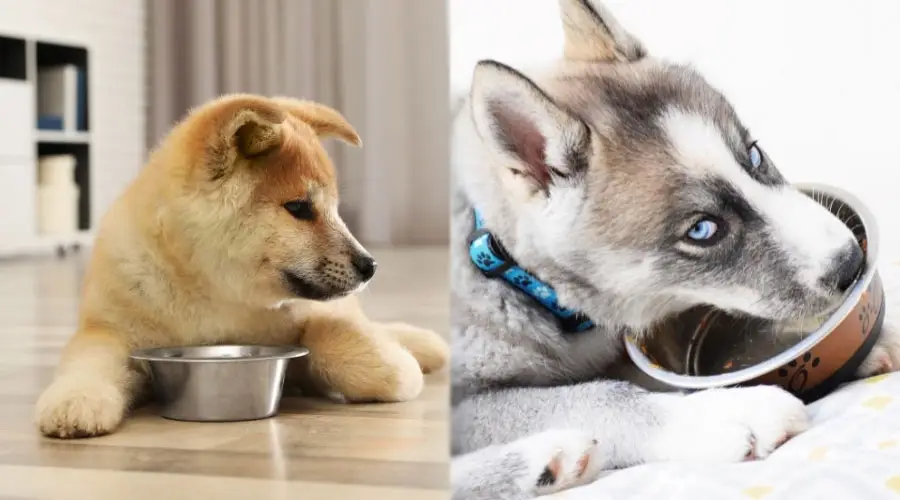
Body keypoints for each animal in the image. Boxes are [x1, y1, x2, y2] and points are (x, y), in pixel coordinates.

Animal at [35, 94, 450, 438]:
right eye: (299, 208)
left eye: (334, 208)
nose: (370, 265)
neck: (214, 293)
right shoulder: (108, 330)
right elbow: (89, 363)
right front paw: (76, 401)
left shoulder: (317, 314)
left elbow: (332, 336)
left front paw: (395, 366)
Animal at [450, 1, 900, 498]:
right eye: (702, 230)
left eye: (754, 155)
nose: (851, 263)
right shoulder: (463, 400)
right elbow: (595, 395)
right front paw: (722, 414)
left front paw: (867, 344)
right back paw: (546, 458)